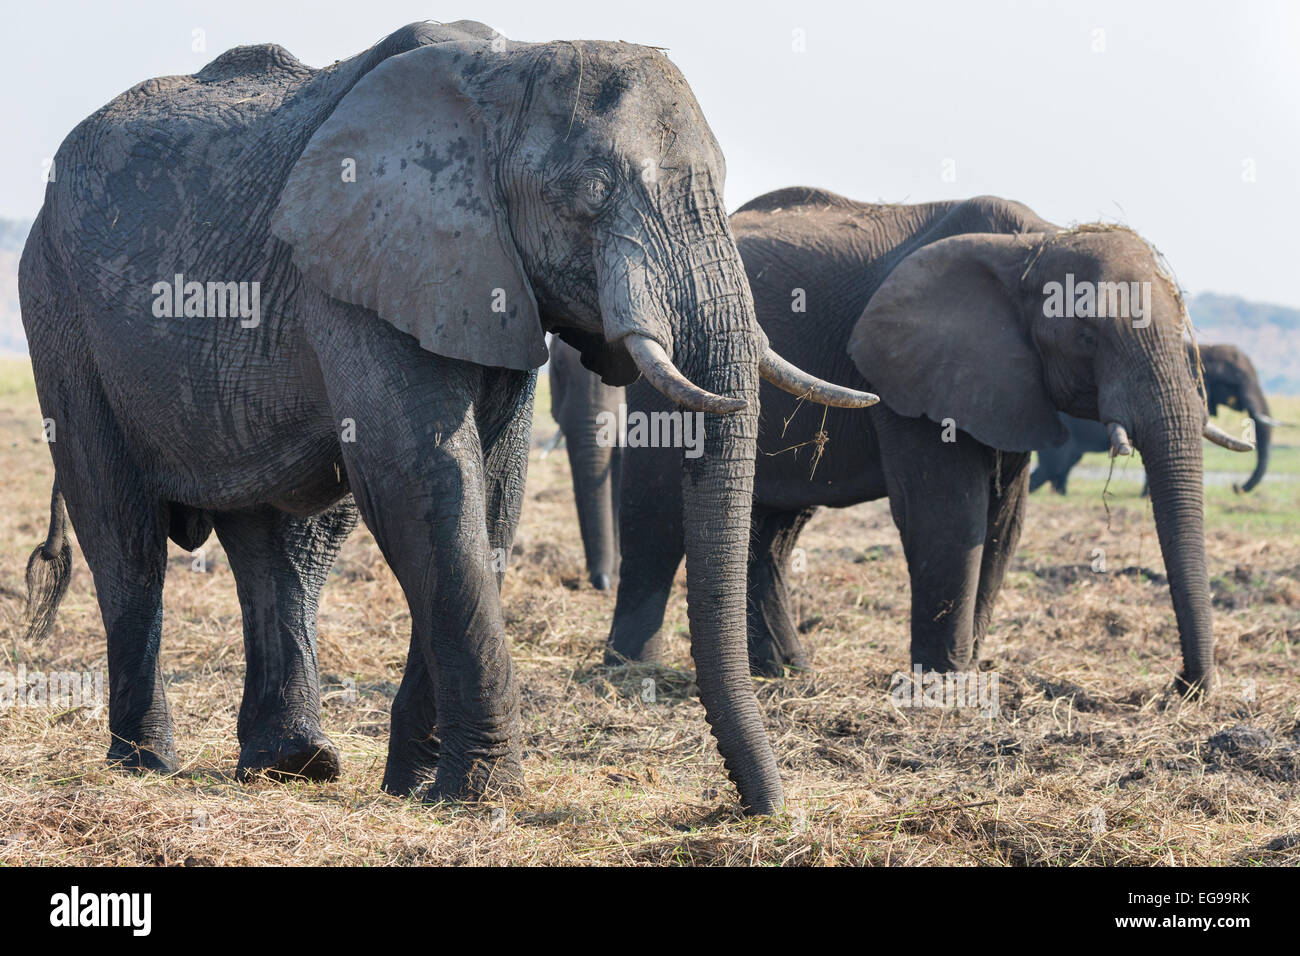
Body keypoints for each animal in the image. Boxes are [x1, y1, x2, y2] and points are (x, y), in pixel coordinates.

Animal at [605, 188, 1248, 697]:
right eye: (1088, 334)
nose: (1181, 686)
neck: (1035, 243)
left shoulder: (1008, 382)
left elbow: (1005, 521)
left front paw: (969, 669)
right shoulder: (908, 375)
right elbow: (948, 515)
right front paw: (946, 685)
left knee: (773, 531)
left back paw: (786, 673)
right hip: (668, 367)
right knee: (655, 513)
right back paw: (631, 671)